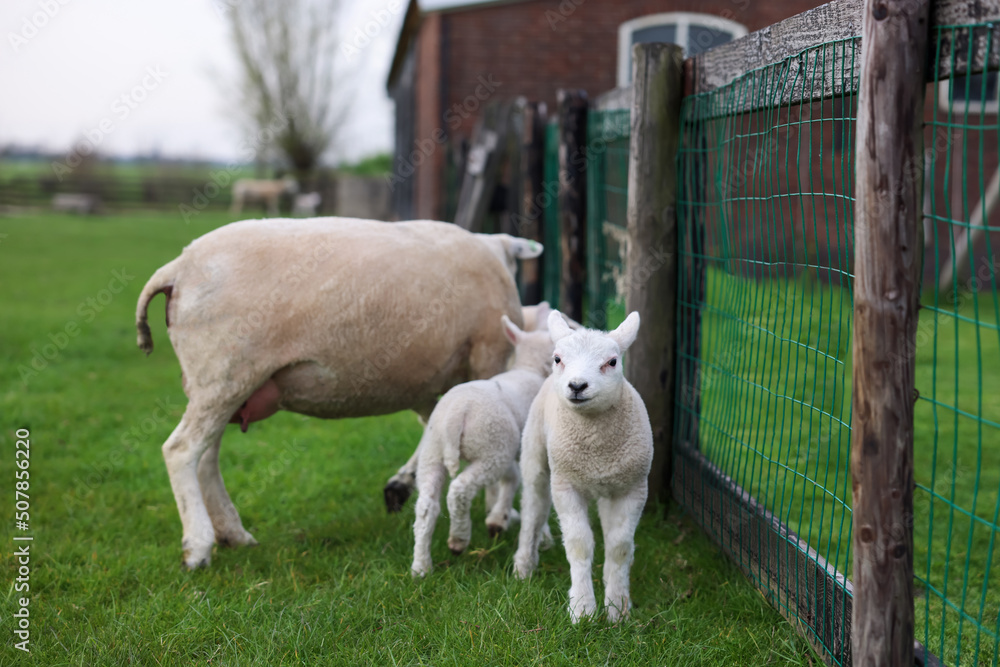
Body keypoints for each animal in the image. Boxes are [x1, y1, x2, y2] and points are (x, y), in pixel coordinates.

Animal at [135, 216, 542, 569]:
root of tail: (177, 268)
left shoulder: (432, 388)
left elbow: (431, 432)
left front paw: (403, 485)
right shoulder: (487, 357)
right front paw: (498, 513)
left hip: (218, 383)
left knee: (206, 458)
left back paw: (232, 534)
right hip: (224, 373)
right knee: (182, 451)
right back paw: (198, 546)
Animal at [411, 304, 554, 577]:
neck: (528, 368)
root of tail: (457, 414)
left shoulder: (513, 449)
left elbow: (512, 479)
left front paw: (499, 519)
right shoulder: (520, 449)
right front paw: (540, 536)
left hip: (435, 451)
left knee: (426, 506)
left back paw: (421, 567)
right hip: (491, 449)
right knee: (459, 489)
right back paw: (458, 539)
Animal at [513, 310, 653, 623]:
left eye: (612, 361)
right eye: (557, 359)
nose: (577, 386)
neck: (596, 449)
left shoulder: (633, 488)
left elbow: (619, 547)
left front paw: (617, 608)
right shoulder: (566, 486)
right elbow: (579, 544)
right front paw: (582, 609)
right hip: (536, 457)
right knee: (533, 508)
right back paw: (524, 565)